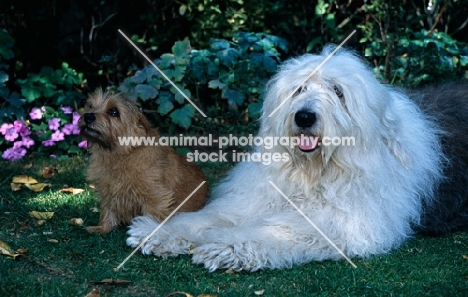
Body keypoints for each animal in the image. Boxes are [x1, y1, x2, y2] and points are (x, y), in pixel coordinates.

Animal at [126, 45, 468, 270]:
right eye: (299, 88)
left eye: (337, 91)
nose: (304, 117)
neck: (313, 172)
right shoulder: (256, 198)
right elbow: (211, 217)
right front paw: (159, 232)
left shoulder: (346, 222)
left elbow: (278, 231)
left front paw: (225, 245)